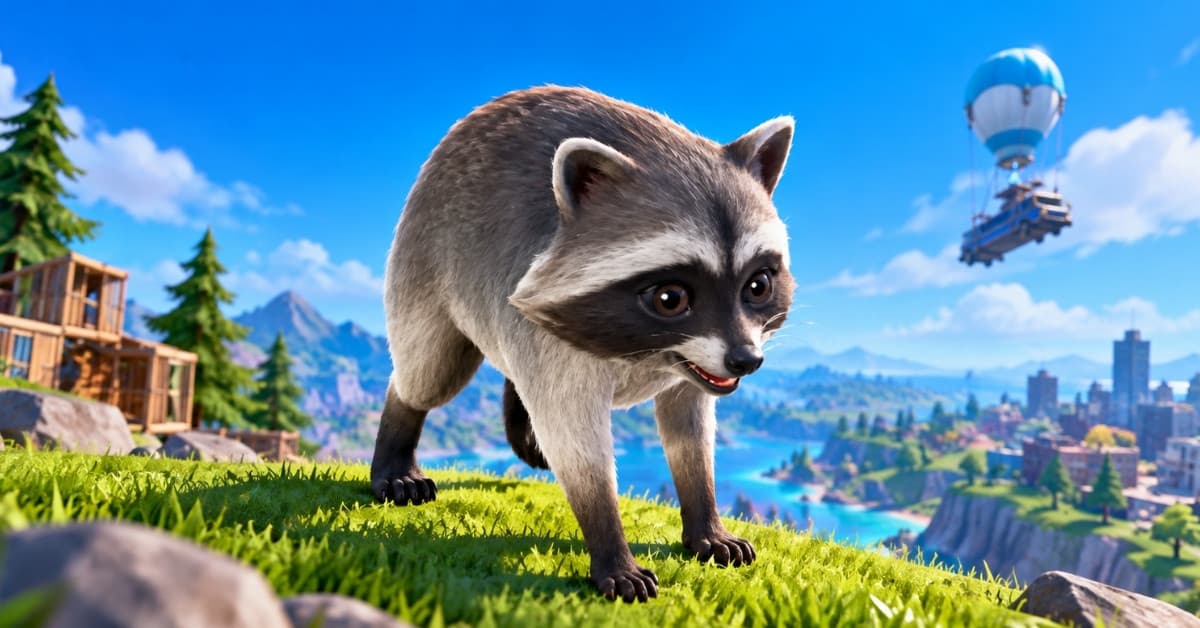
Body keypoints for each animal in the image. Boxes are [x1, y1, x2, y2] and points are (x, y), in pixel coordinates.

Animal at [371, 86, 794, 602]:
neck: (650, 351)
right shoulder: (550, 337)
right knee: (428, 371)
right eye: (670, 298)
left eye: (758, 286)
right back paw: (396, 443)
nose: (746, 361)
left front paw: (705, 521)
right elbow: (576, 442)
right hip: (425, 255)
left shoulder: (696, 364)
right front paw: (610, 546)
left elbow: (690, 434)